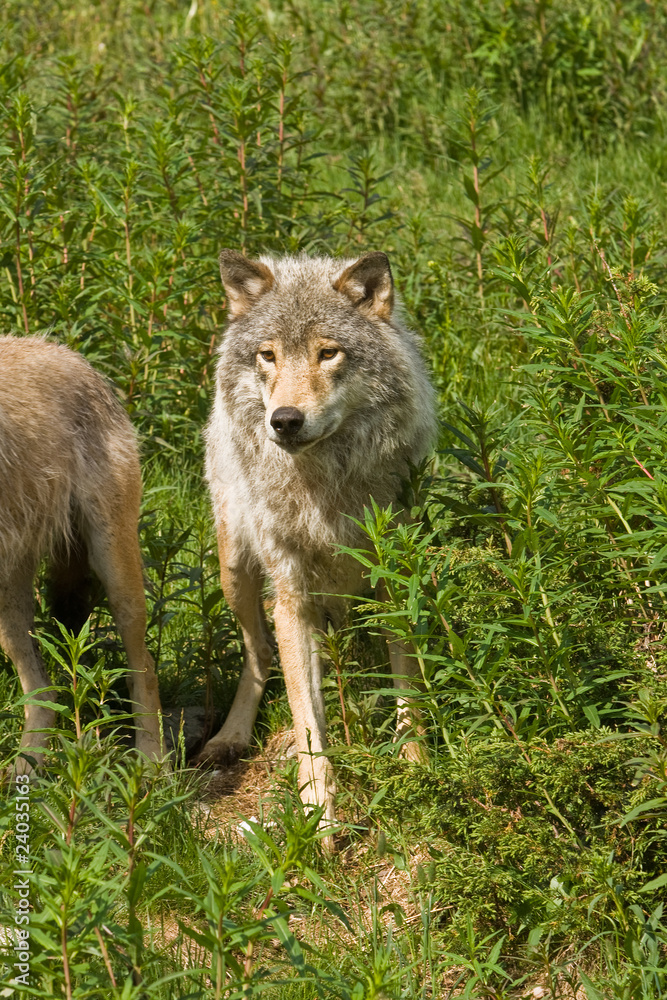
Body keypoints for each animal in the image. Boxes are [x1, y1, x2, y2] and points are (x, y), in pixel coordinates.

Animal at [0, 336, 163, 770]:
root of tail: (73, 356)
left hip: (115, 567)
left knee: (145, 667)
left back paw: (151, 764)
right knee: (44, 692)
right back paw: (27, 765)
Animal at [201, 250, 437, 824]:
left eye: (327, 353)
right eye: (267, 356)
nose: (284, 420)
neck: (323, 489)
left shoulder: (395, 580)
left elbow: (408, 688)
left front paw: (416, 765)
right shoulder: (291, 594)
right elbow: (306, 718)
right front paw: (320, 813)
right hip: (235, 572)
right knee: (259, 652)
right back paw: (230, 736)